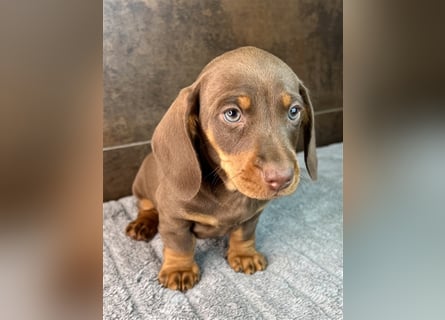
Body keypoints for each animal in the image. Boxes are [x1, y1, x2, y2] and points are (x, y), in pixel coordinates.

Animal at [126, 46, 318, 292]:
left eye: (294, 111)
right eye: (232, 114)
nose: (282, 179)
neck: (228, 190)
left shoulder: (252, 214)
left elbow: (244, 234)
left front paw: (244, 254)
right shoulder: (173, 217)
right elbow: (179, 244)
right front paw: (180, 269)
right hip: (142, 187)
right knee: (146, 206)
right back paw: (142, 224)